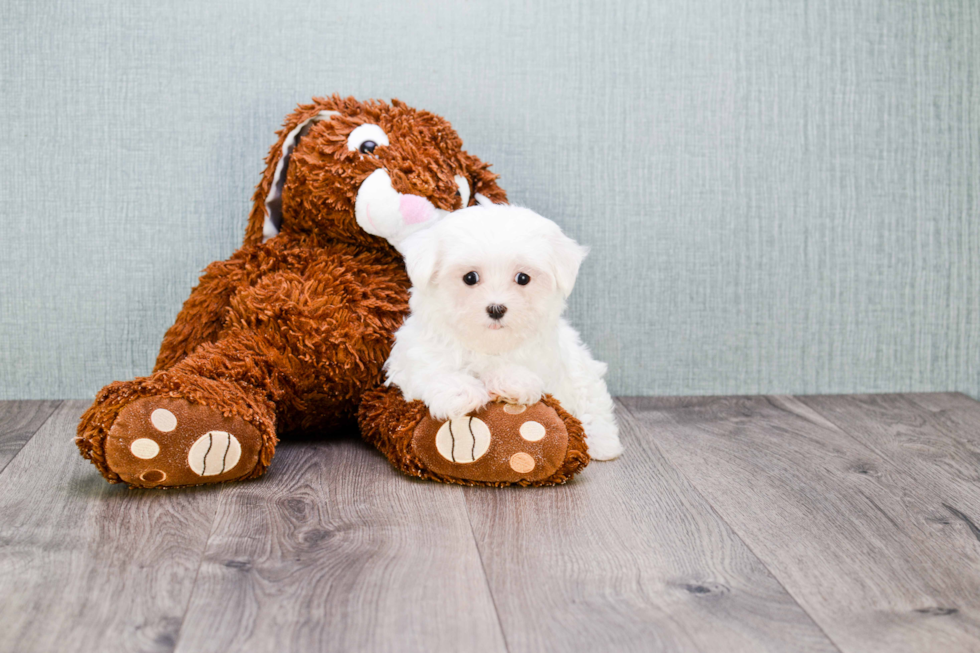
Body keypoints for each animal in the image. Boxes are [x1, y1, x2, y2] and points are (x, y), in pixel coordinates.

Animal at [382, 204, 620, 458]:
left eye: (523, 278)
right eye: (470, 277)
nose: (496, 309)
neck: (487, 345)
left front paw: (512, 381)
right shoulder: (415, 355)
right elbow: (430, 371)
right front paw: (460, 392)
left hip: (582, 371)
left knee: (593, 402)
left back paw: (603, 444)